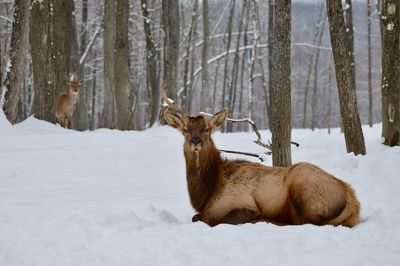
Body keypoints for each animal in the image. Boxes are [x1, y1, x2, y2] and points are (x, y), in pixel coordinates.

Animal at [161, 84, 360, 228]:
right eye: (185, 130)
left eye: (207, 129)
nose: (195, 141)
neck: (206, 193)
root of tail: (353, 201)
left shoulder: (245, 204)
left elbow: (210, 220)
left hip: (303, 187)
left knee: (305, 222)